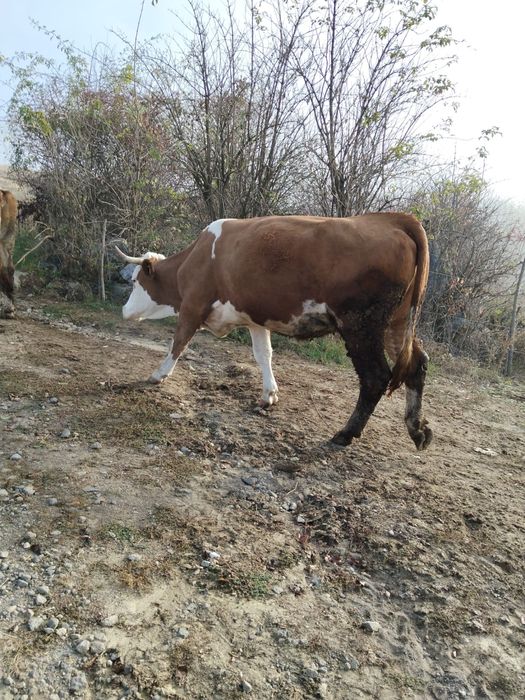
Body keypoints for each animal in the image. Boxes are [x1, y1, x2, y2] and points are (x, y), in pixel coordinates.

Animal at [116, 213, 432, 450]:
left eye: (135, 281)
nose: (123, 310)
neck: (197, 257)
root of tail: (391, 219)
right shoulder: (256, 320)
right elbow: (263, 355)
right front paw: (269, 394)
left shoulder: (192, 305)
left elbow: (179, 342)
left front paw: (158, 375)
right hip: (396, 324)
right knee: (416, 364)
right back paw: (416, 429)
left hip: (361, 326)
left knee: (375, 377)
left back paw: (345, 434)